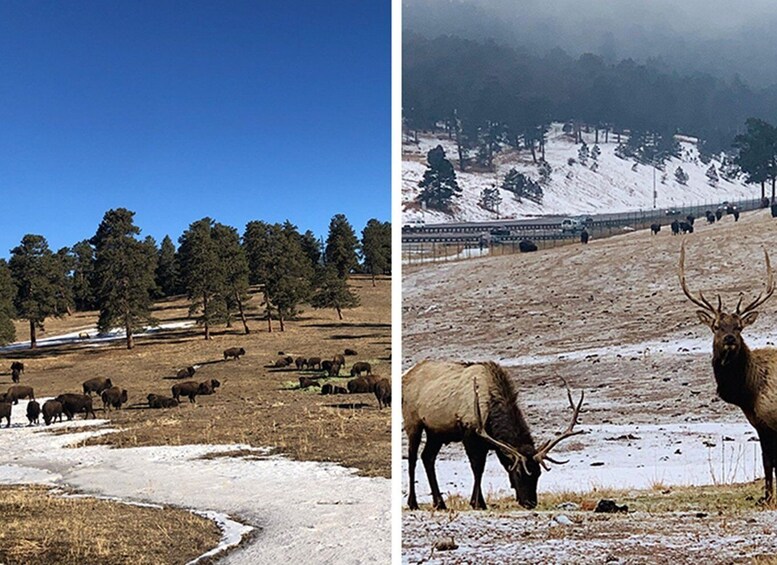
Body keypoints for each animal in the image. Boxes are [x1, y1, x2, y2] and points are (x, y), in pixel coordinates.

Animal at [406, 362, 584, 512]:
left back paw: (440, 503)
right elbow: (477, 468)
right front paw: (478, 503)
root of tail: (406, 374)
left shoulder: (490, 444)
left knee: (427, 457)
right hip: (413, 423)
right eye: (519, 473)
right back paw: (413, 503)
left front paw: (478, 502)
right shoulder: (470, 435)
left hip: (435, 432)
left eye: (538, 473)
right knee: (412, 459)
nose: (530, 503)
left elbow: (485, 468)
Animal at [680, 240, 776, 500]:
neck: (748, 394)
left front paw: (767, 497)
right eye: (716, 326)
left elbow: (769, 462)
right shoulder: (760, 423)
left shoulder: (770, 421)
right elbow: (767, 462)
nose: (730, 338)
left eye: (739, 326)